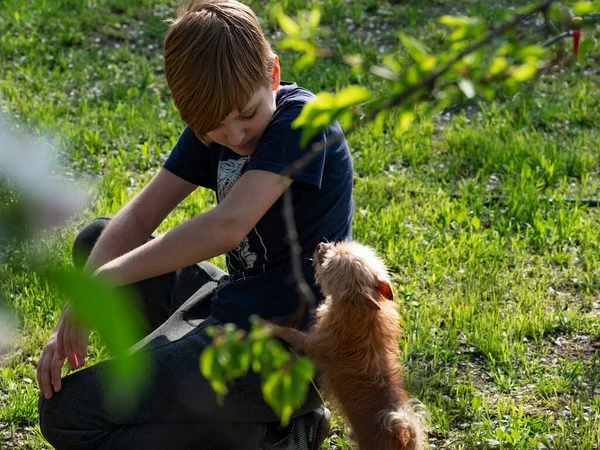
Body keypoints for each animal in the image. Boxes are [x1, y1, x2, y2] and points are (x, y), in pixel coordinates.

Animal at [268, 243, 426, 450]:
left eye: (330, 260)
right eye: (337, 245)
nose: (320, 245)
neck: (361, 313)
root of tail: (403, 436)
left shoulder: (313, 345)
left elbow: (290, 333)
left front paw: (266, 326)